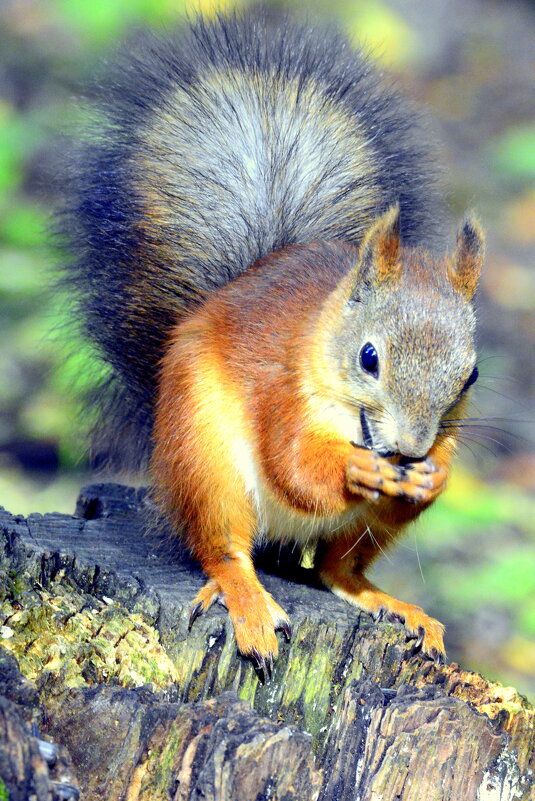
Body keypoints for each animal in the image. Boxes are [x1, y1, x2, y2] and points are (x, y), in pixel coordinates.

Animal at [58, 9, 486, 680]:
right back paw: (249, 602)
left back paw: (393, 605)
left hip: (364, 527)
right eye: (369, 357)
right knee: (222, 549)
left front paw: (433, 475)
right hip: (205, 461)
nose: (410, 452)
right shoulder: (279, 391)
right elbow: (293, 466)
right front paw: (354, 467)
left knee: (337, 569)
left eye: (470, 376)